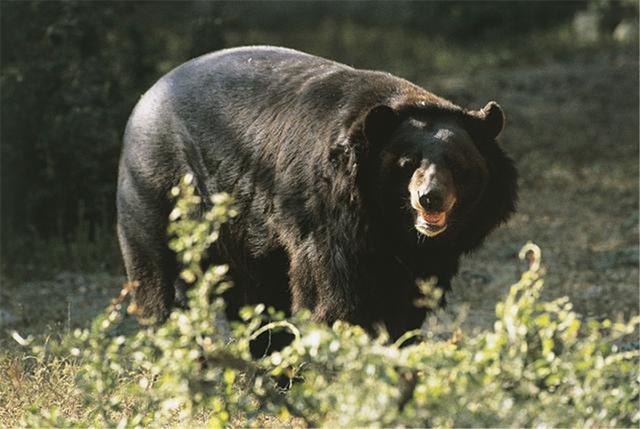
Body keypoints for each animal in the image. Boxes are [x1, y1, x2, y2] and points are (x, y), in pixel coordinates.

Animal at [117, 45, 516, 336]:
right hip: (158, 187)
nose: (430, 198)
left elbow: (408, 303)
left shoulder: (427, 254)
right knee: (157, 273)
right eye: (407, 163)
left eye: (457, 165)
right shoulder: (326, 216)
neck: (390, 223)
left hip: (244, 236)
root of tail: (146, 96)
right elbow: (334, 293)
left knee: (254, 296)